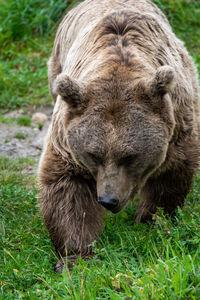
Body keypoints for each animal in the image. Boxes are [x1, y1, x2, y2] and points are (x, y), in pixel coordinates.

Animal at [38, 0, 200, 272]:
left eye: (130, 156)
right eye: (94, 155)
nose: (108, 200)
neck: (119, 66)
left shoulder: (177, 124)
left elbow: (170, 176)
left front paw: (150, 222)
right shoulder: (67, 136)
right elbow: (67, 190)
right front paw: (75, 257)